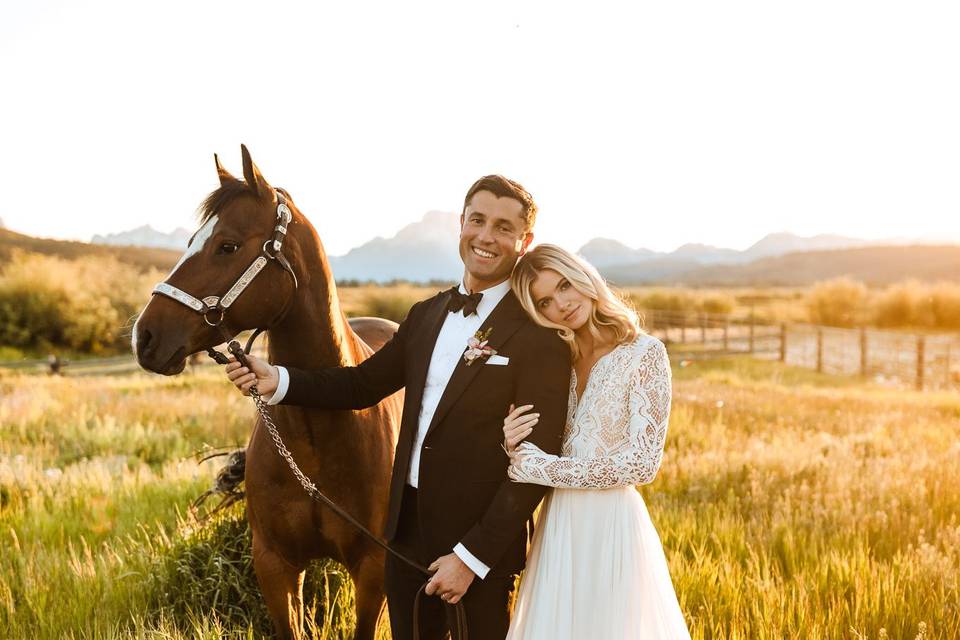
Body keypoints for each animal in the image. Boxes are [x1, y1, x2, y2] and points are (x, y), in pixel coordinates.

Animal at [133, 146, 400, 640]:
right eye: (191, 242)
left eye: (227, 245)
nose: (145, 337)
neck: (319, 430)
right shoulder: (275, 566)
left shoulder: (373, 569)